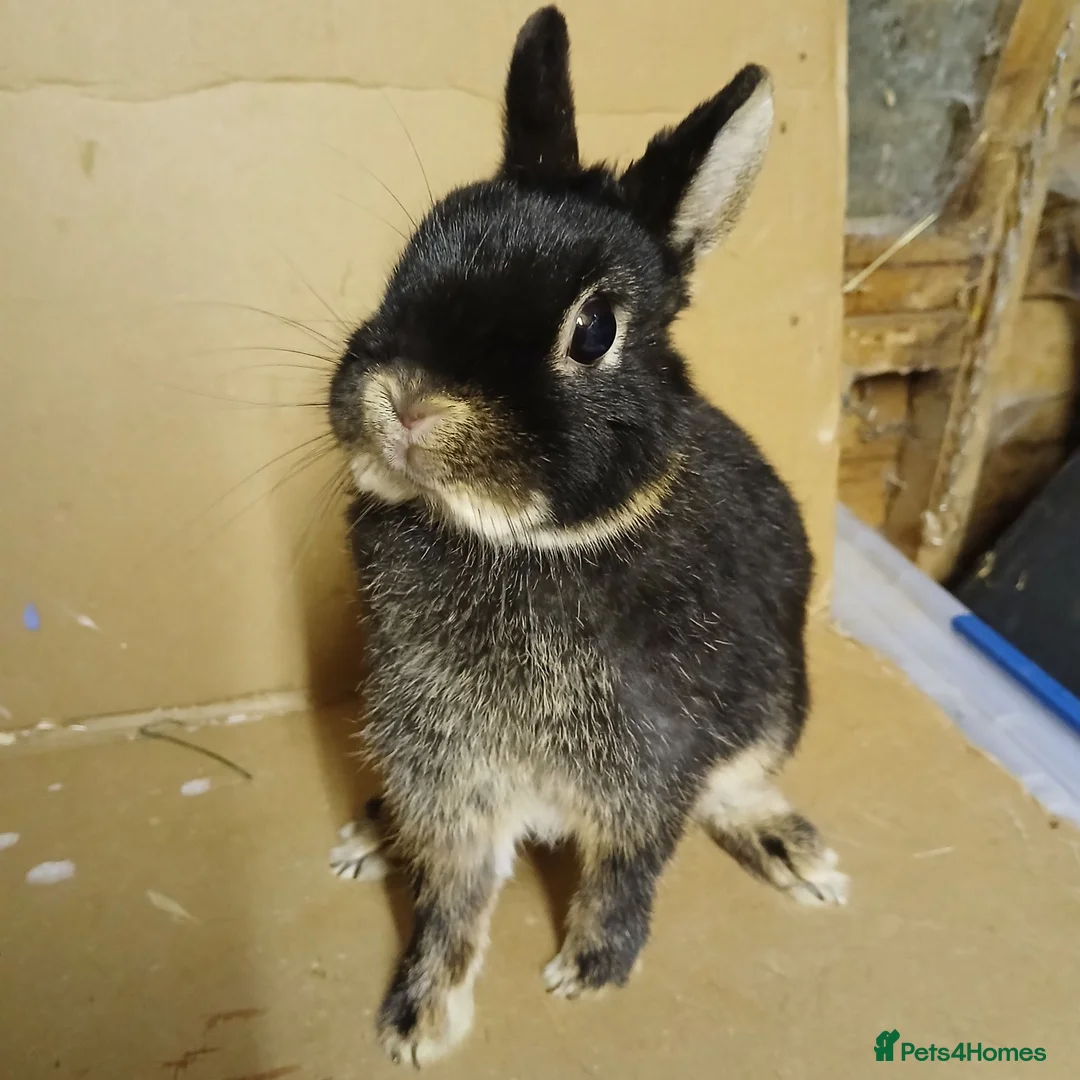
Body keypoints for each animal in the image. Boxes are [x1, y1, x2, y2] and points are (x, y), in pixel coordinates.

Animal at [326, 5, 848, 1067]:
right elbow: (451, 895)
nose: (408, 400)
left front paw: (591, 970)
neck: (520, 545)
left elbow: (627, 868)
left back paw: (795, 852)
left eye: (595, 329)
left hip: (778, 706)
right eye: (414, 251)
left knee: (737, 788)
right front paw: (419, 1018)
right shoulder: (444, 767)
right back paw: (371, 831)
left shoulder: (649, 765)